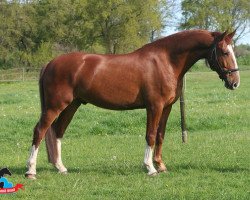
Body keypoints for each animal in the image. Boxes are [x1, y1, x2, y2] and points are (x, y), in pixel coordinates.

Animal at [25, 30, 240, 180]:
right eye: (224, 51)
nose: (235, 82)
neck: (166, 60)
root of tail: (50, 63)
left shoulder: (167, 107)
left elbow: (160, 135)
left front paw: (161, 165)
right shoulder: (154, 106)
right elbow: (150, 135)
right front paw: (150, 168)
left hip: (72, 105)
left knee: (58, 132)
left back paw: (61, 168)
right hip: (55, 106)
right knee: (40, 131)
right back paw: (31, 171)